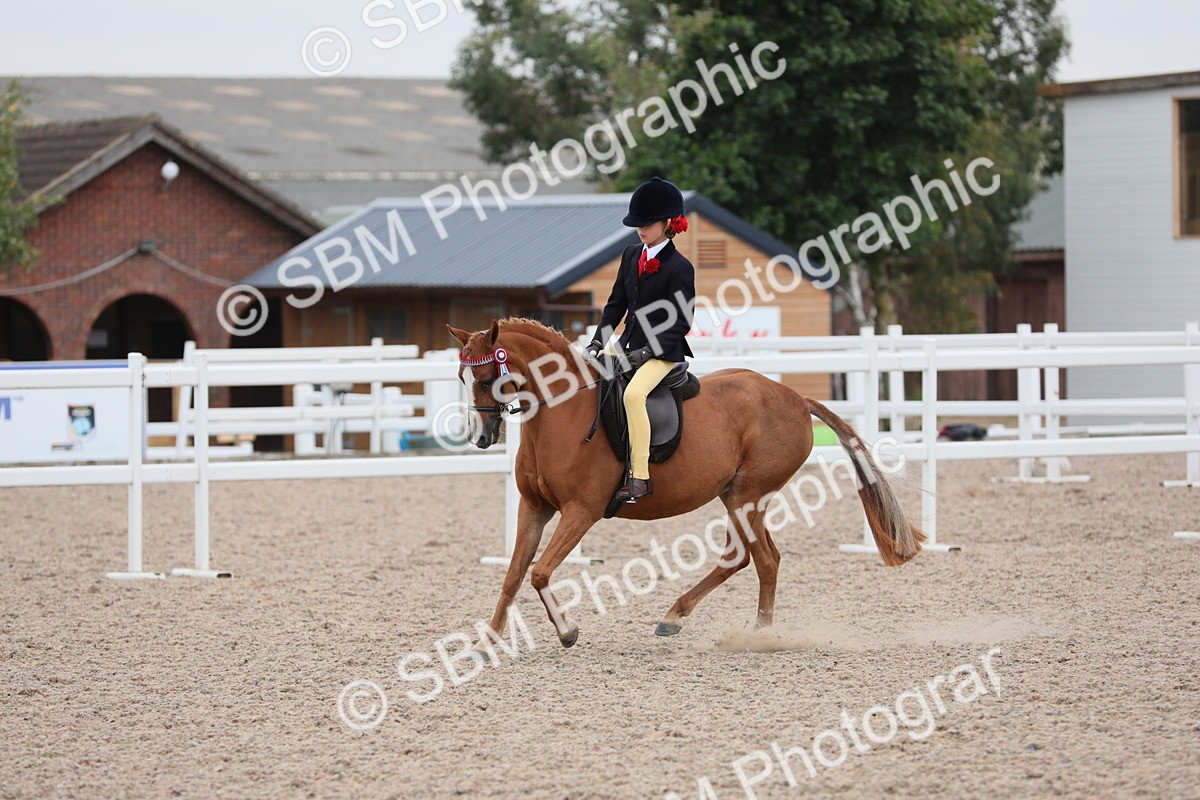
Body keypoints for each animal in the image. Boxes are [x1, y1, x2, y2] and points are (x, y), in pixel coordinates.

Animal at [448, 318, 924, 648]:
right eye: (461, 378)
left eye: (488, 378)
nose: (481, 438)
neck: (562, 412)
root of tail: (793, 397)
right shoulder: (534, 507)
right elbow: (514, 575)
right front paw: (487, 641)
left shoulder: (581, 511)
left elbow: (541, 572)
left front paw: (567, 632)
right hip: (738, 496)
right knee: (753, 560)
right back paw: (714, 623)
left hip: (748, 495)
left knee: (752, 559)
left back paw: (724, 628)